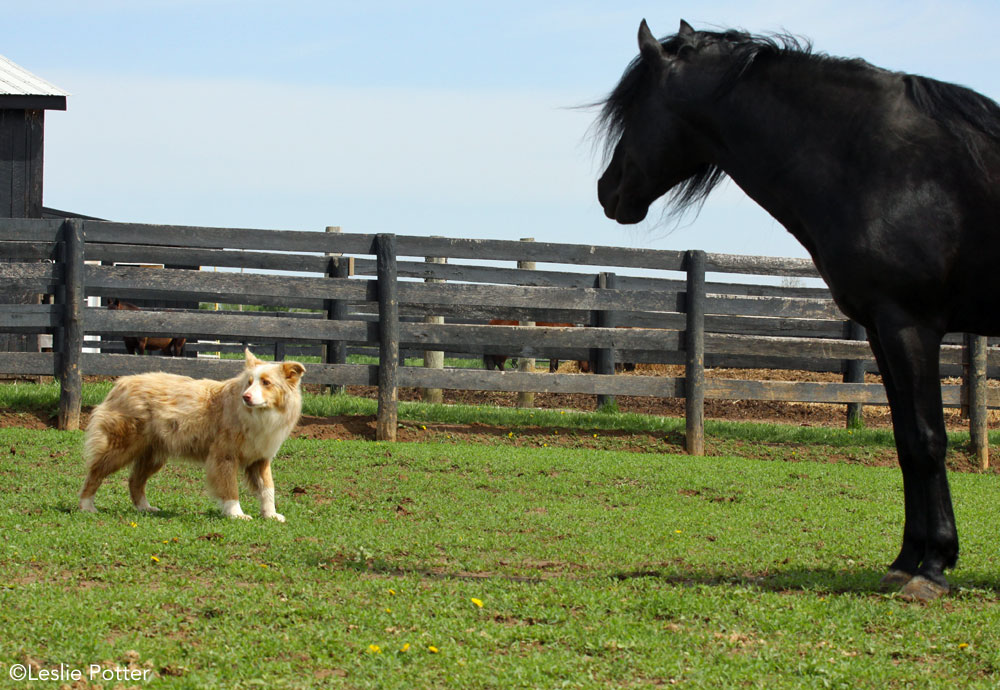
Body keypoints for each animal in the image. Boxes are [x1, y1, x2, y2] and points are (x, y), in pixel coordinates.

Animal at [79, 346, 300, 520]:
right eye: (249, 382)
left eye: (266, 383)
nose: (246, 397)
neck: (259, 415)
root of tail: (121, 382)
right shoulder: (225, 456)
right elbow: (230, 488)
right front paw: (236, 514)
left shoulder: (261, 459)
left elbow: (268, 489)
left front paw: (271, 514)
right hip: (122, 447)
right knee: (95, 472)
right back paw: (86, 506)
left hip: (153, 454)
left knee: (135, 481)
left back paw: (145, 508)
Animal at [592, 16, 1000, 596]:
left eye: (634, 110)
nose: (608, 189)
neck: (884, 161)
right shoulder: (882, 328)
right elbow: (904, 441)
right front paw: (906, 560)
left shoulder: (911, 324)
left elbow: (927, 440)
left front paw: (934, 567)